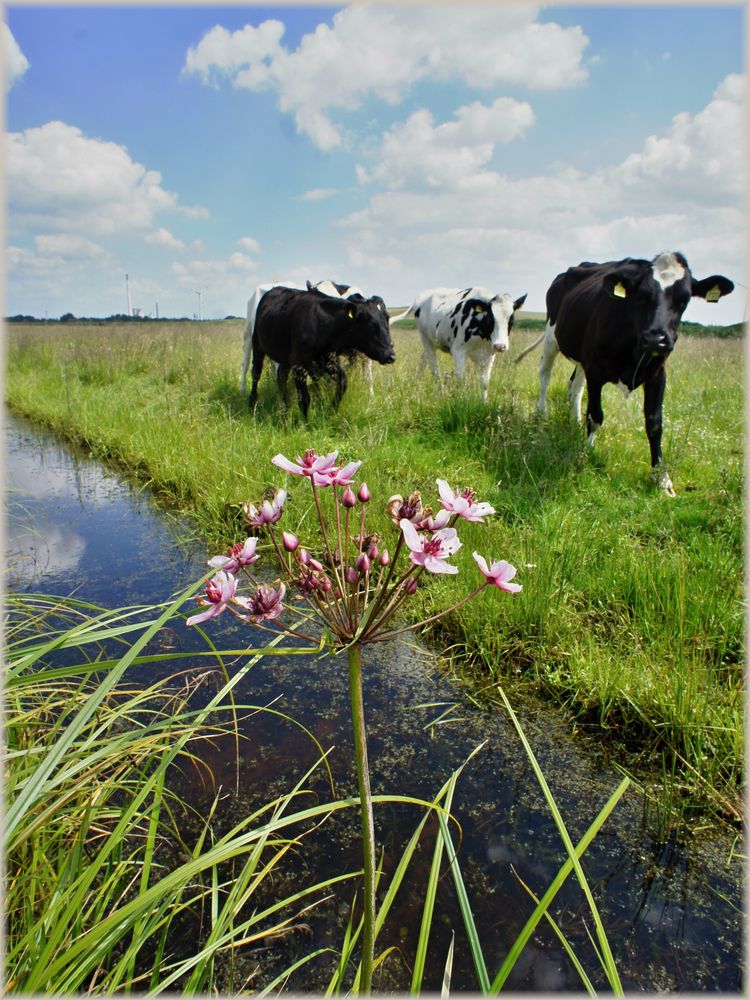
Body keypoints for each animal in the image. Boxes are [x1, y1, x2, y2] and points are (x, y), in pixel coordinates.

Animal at [248, 286, 400, 418]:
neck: (323, 324)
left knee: (281, 377)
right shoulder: (299, 363)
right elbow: (304, 398)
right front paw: (304, 424)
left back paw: (286, 407)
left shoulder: (330, 360)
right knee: (256, 373)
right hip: (257, 344)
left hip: (287, 358)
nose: (390, 355)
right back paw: (252, 403)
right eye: (372, 325)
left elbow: (343, 383)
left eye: (387, 320)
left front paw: (331, 410)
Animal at [516, 250, 736, 492]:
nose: (656, 339)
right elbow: (595, 415)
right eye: (642, 295)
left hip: (581, 357)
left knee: (575, 386)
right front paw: (587, 452)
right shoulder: (595, 370)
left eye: (685, 299)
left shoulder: (658, 374)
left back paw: (574, 423)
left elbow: (655, 423)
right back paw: (541, 415)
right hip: (551, 337)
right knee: (545, 374)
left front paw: (661, 478)